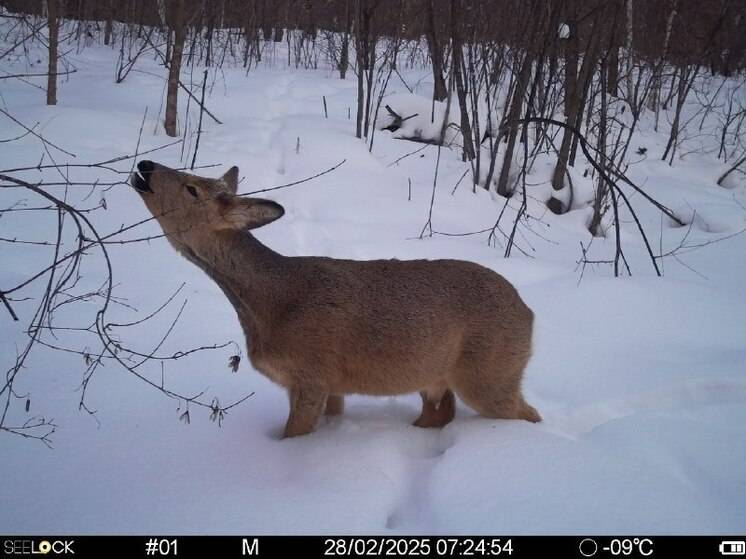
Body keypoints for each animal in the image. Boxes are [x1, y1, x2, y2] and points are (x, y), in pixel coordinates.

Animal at [131, 161, 540, 438]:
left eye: (191, 189)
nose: (144, 166)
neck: (271, 300)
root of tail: (530, 314)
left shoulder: (311, 374)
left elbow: (292, 435)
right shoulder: (330, 385)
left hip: (491, 373)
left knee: (528, 413)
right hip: (436, 379)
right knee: (440, 414)